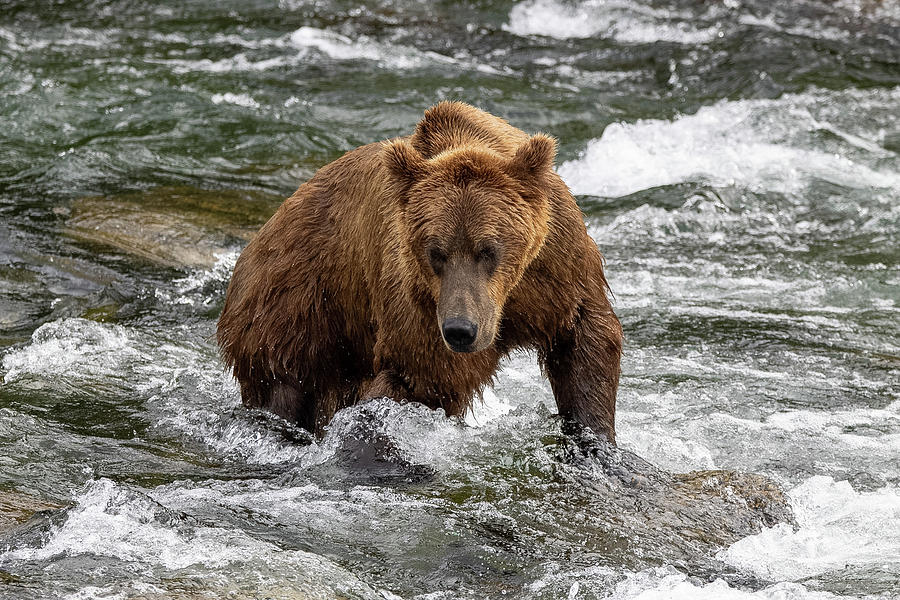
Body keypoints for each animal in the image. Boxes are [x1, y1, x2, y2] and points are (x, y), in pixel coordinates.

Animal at [219, 101, 624, 442]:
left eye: (488, 250)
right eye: (436, 253)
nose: (461, 330)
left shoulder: (556, 265)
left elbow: (585, 338)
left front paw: (595, 441)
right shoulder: (418, 304)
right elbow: (417, 377)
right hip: (296, 311)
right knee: (285, 387)